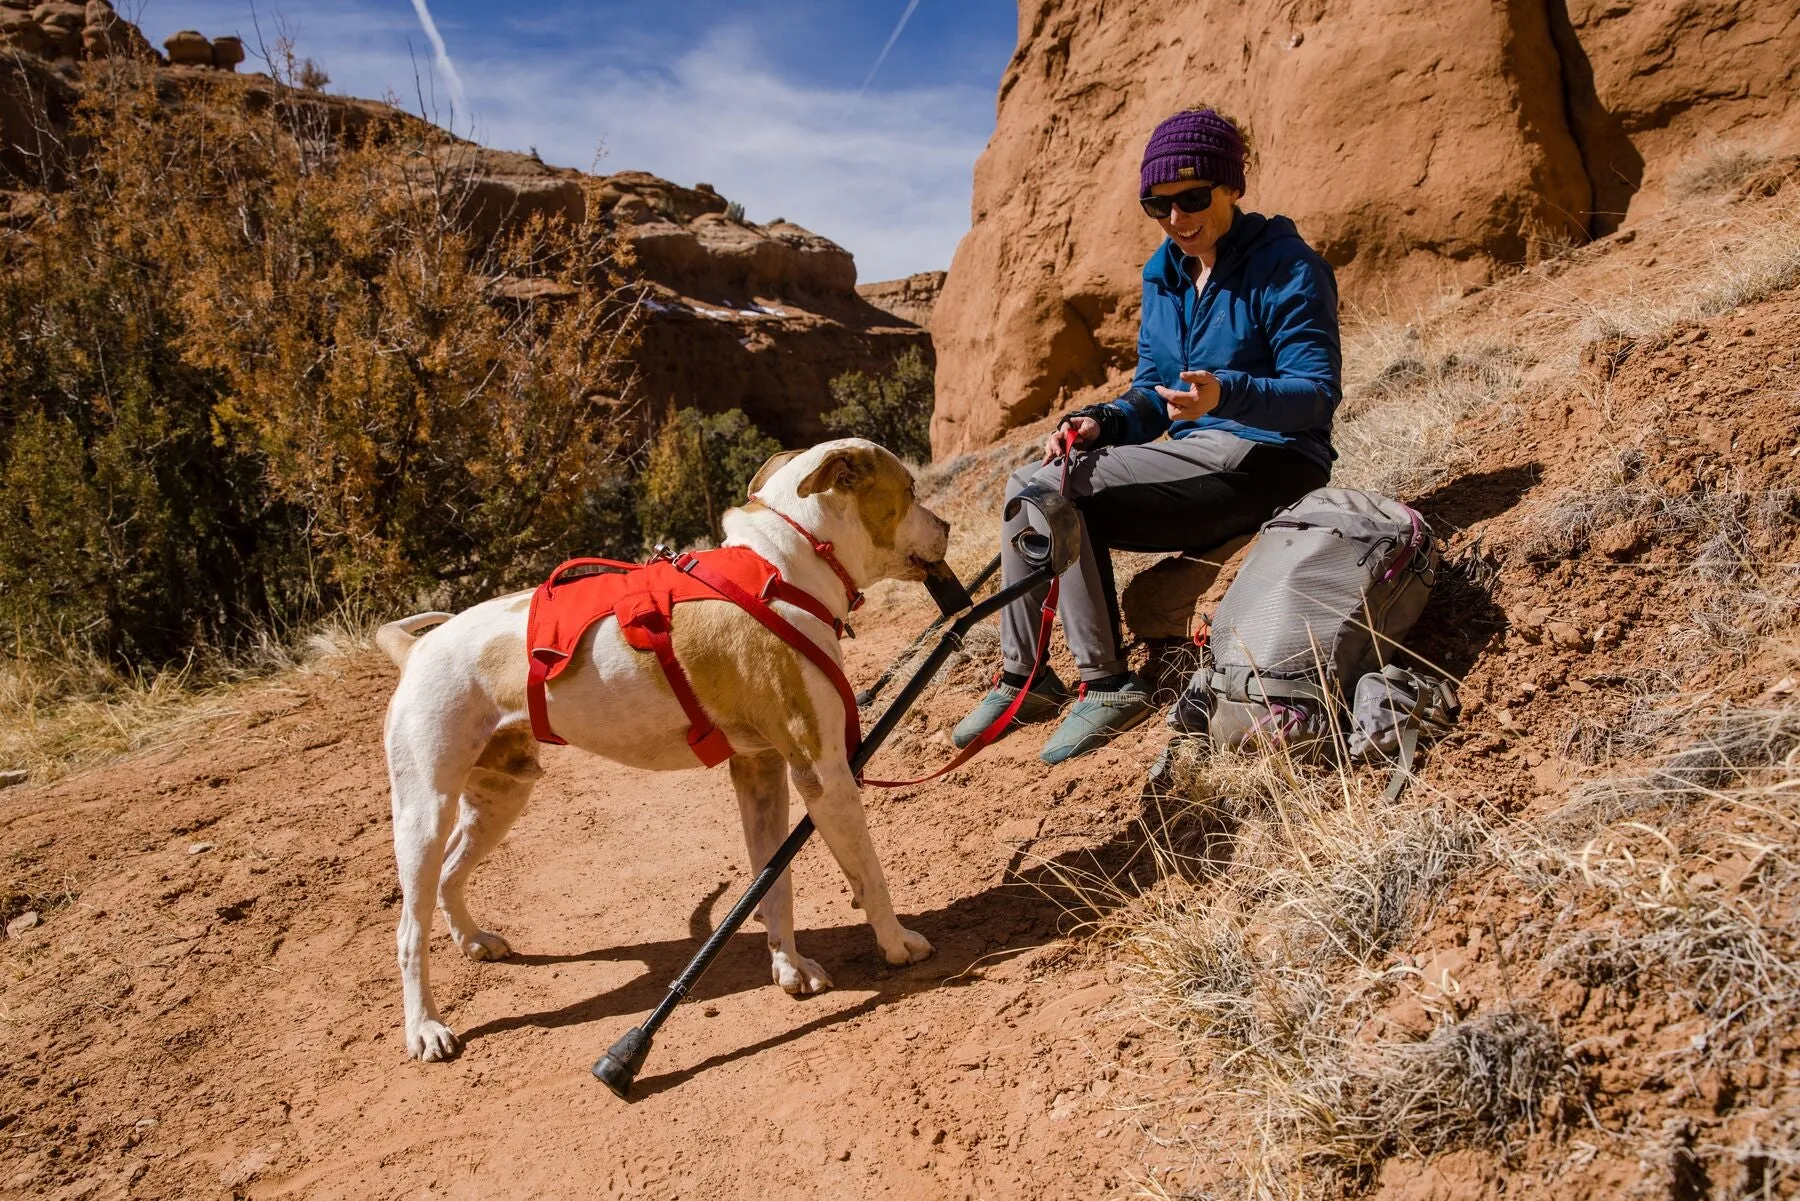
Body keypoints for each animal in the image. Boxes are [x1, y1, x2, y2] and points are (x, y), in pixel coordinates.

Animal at [374, 439, 950, 1058]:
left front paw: (789, 967)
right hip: (424, 813)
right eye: (909, 490)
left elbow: (772, 880)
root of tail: (414, 649)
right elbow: (868, 872)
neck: (784, 568)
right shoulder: (824, 773)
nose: (945, 525)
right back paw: (425, 1027)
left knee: (451, 873)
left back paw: (474, 940)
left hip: (500, 796)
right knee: (409, 928)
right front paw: (897, 942)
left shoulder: (761, 770)